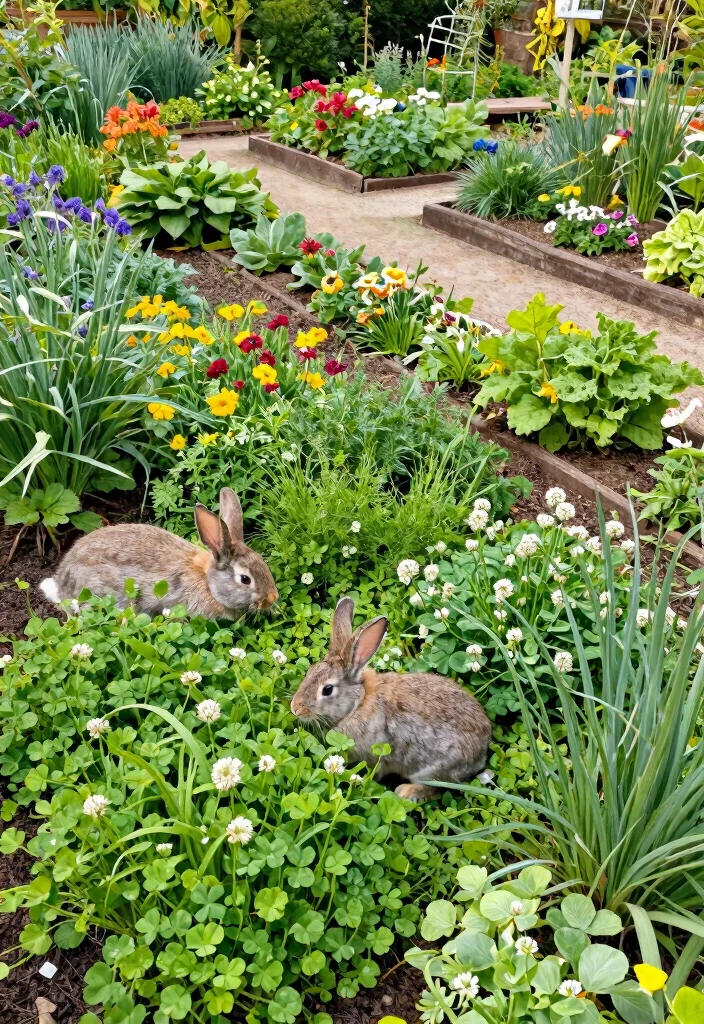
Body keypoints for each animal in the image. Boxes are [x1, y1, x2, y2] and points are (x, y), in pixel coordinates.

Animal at [290, 596, 491, 802]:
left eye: (327, 689)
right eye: (310, 671)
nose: (295, 708)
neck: (358, 704)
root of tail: (481, 752)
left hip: (432, 769)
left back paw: (405, 791)